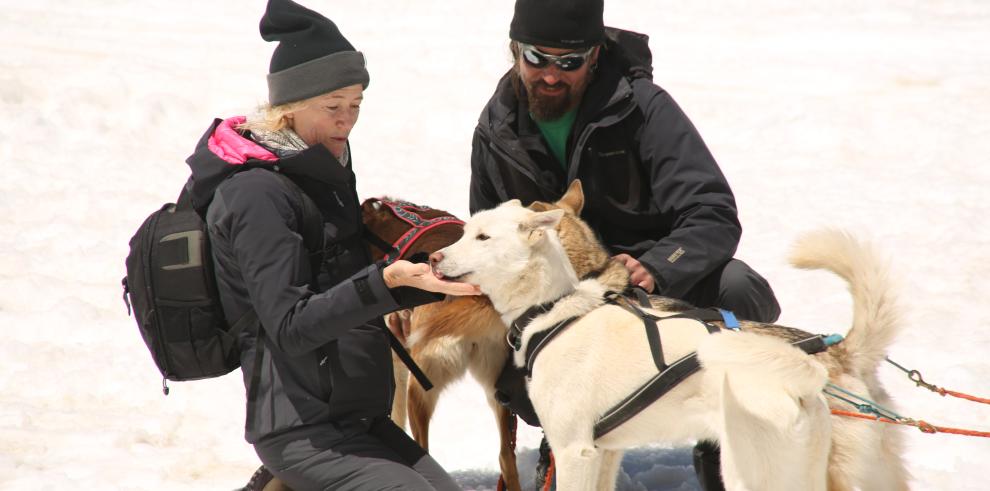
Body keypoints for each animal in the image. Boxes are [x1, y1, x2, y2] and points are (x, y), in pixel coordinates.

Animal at [430, 201, 912, 491]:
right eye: (467, 232)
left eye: (482, 238)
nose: (434, 258)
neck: (554, 310)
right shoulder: (605, 452)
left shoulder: (574, 450)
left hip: (753, 474)